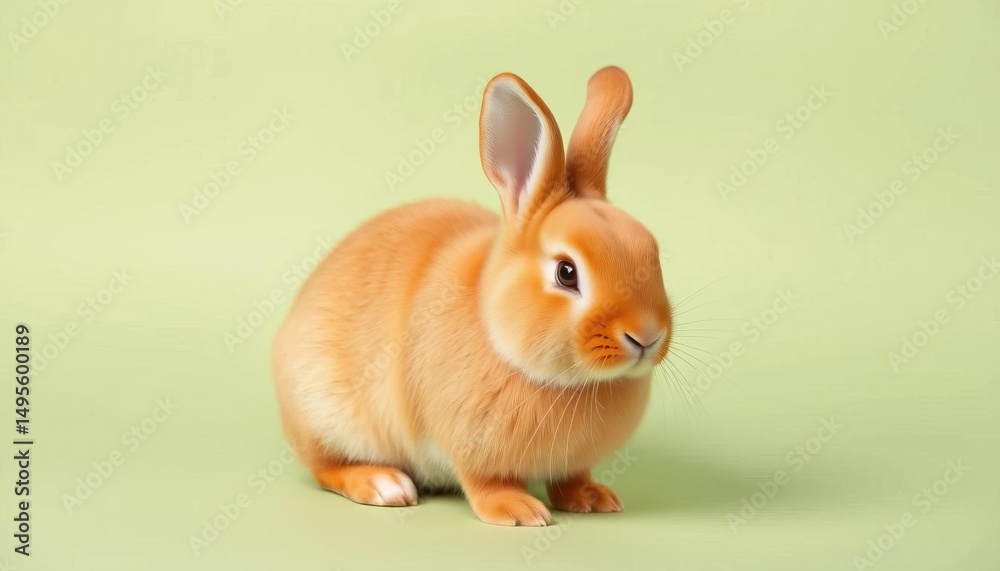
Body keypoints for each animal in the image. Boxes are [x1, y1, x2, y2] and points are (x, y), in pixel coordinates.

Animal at [271, 66, 671, 526]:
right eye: (566, 273)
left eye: (653, 252)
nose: (646, 337)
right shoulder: (468, 446)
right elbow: (484, 482)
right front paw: (518, 511)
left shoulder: (571, 462)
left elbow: (570, 477)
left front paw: (592, 498)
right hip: (326, 416)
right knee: (325, 467)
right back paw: (383, 484)